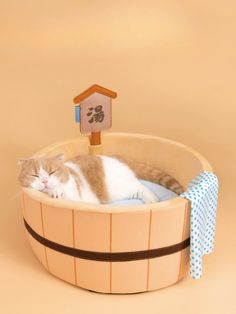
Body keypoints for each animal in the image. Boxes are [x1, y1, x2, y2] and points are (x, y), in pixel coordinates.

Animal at [18, 154, 184, 204]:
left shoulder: (75, 197)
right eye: (34, 175)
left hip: (117, 189)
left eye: (52, 172)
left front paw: (56, 191)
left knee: (140, 187)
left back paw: (152, 200)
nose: (44, 181)